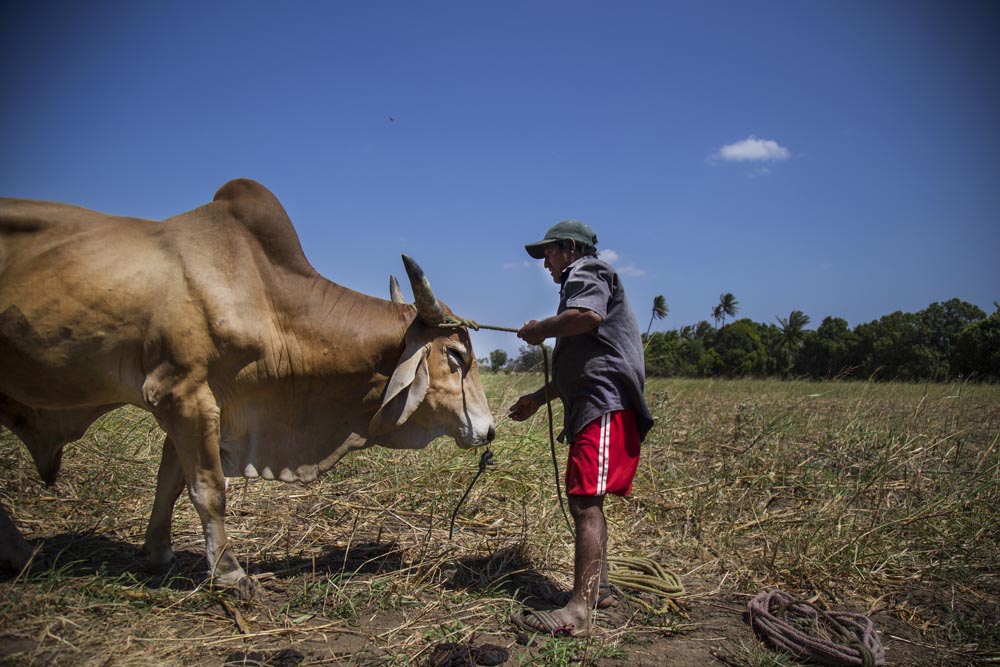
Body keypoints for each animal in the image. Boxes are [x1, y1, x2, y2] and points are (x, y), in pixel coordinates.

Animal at [1, 180, 494, 592]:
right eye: (456, 354)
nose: (489, 429)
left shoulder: (201, 405)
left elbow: (170, 482)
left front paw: (158, 553)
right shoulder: (181, 394)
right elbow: (208, 489)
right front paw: (229, 571)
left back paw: (20, 553)